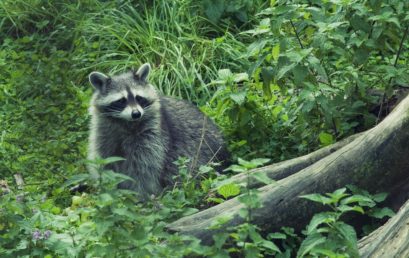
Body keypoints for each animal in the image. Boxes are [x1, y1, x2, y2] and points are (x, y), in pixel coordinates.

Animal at [89, 63, 228, 197]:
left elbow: (145, 167)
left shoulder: (153, 134)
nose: (136, 114)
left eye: (138, 98)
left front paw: (140, 193)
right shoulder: (104, 133)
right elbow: (106, 162)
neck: (126, 122)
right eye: (121, 101)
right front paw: (110, 189)